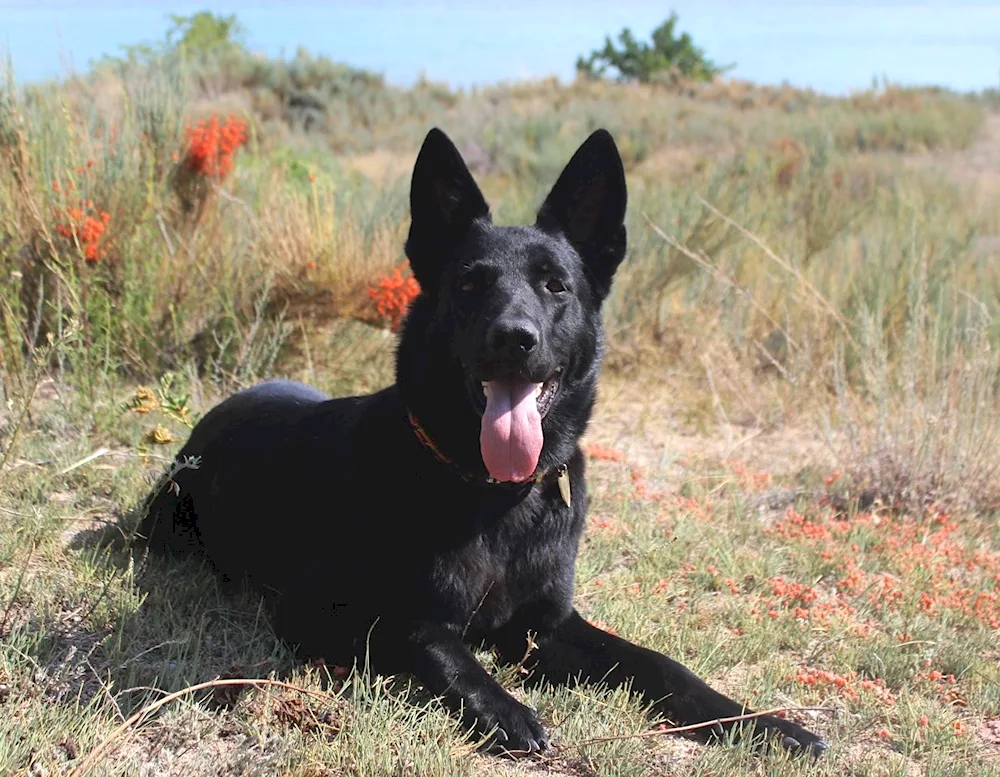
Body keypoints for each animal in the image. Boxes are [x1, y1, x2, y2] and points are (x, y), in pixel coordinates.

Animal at [141, 127, 828, 756]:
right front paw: (502, 706)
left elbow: (657, 662)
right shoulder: (318, 609)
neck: (494, 496)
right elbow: (428, 636)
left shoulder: (547, 626)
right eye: (470, 285)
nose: (513, 339)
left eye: (556, 285)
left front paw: (762, 723)